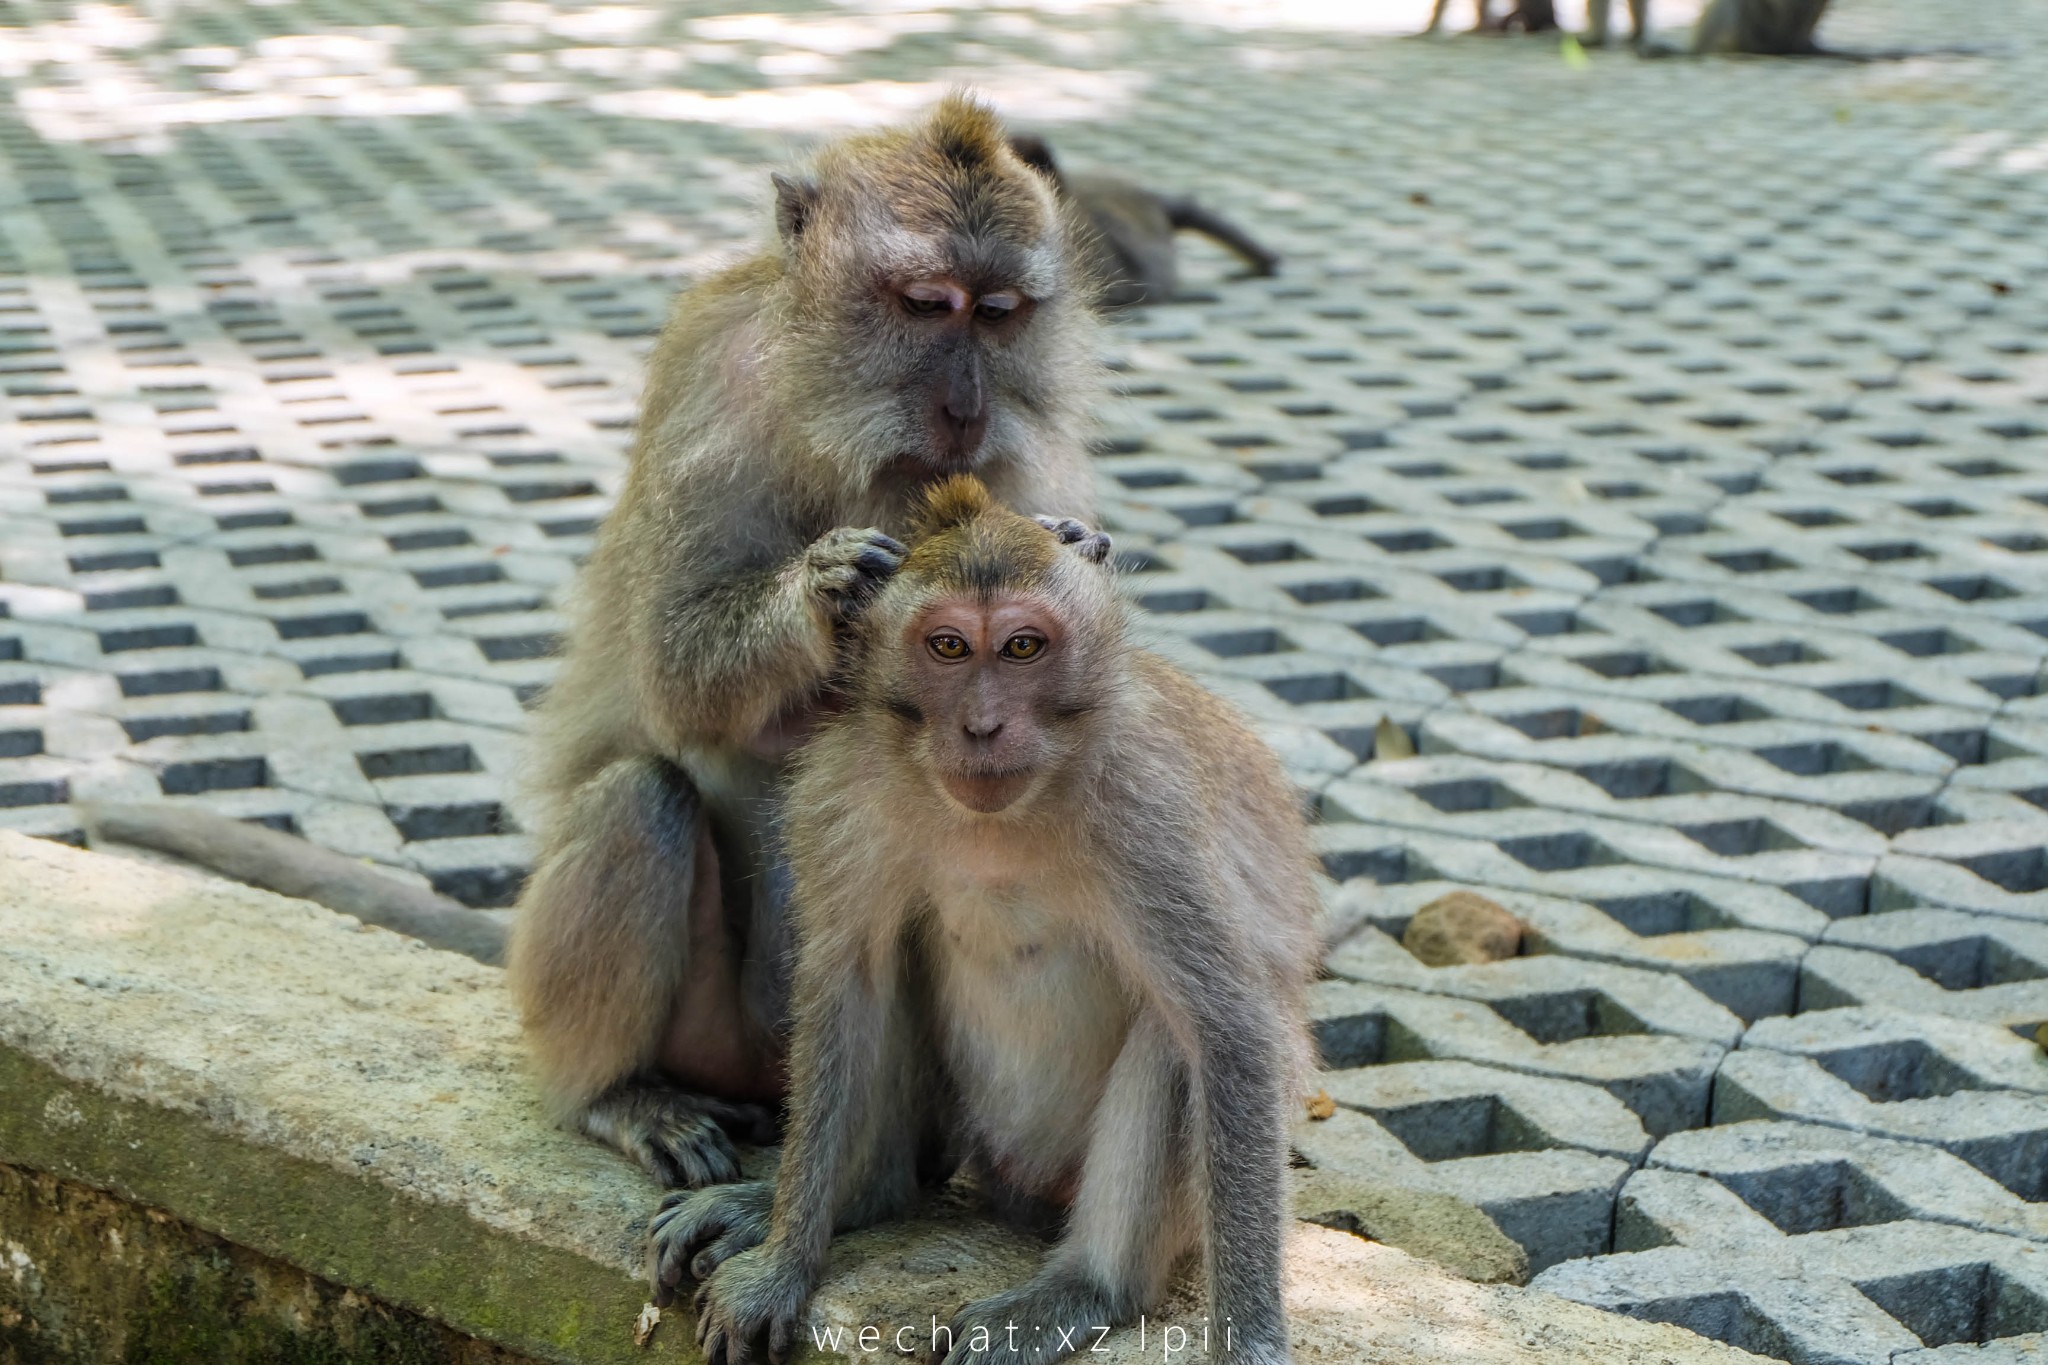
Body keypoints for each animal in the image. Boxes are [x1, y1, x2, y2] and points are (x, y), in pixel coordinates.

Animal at [501, 93, 1105, 1186]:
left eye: (997, 313)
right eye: (926, 305)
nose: (965, 408)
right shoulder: (711, 380)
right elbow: (673, 671)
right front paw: (831, 590)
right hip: (698, 1034)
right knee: (637, 801)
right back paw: (619, 1094)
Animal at [655, 474, 1327, 1358]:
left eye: (1021, 648)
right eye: (948, 646)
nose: (981, 726)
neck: (1003, 815)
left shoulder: (1151, 810)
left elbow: (1230, 1032)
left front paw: (1249, 1341)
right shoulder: (848, 790)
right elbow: (846, 979)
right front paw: (782, 1261)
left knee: (1174, 1039)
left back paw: (1085, 1287)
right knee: (889, 967)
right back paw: (859, 1197)